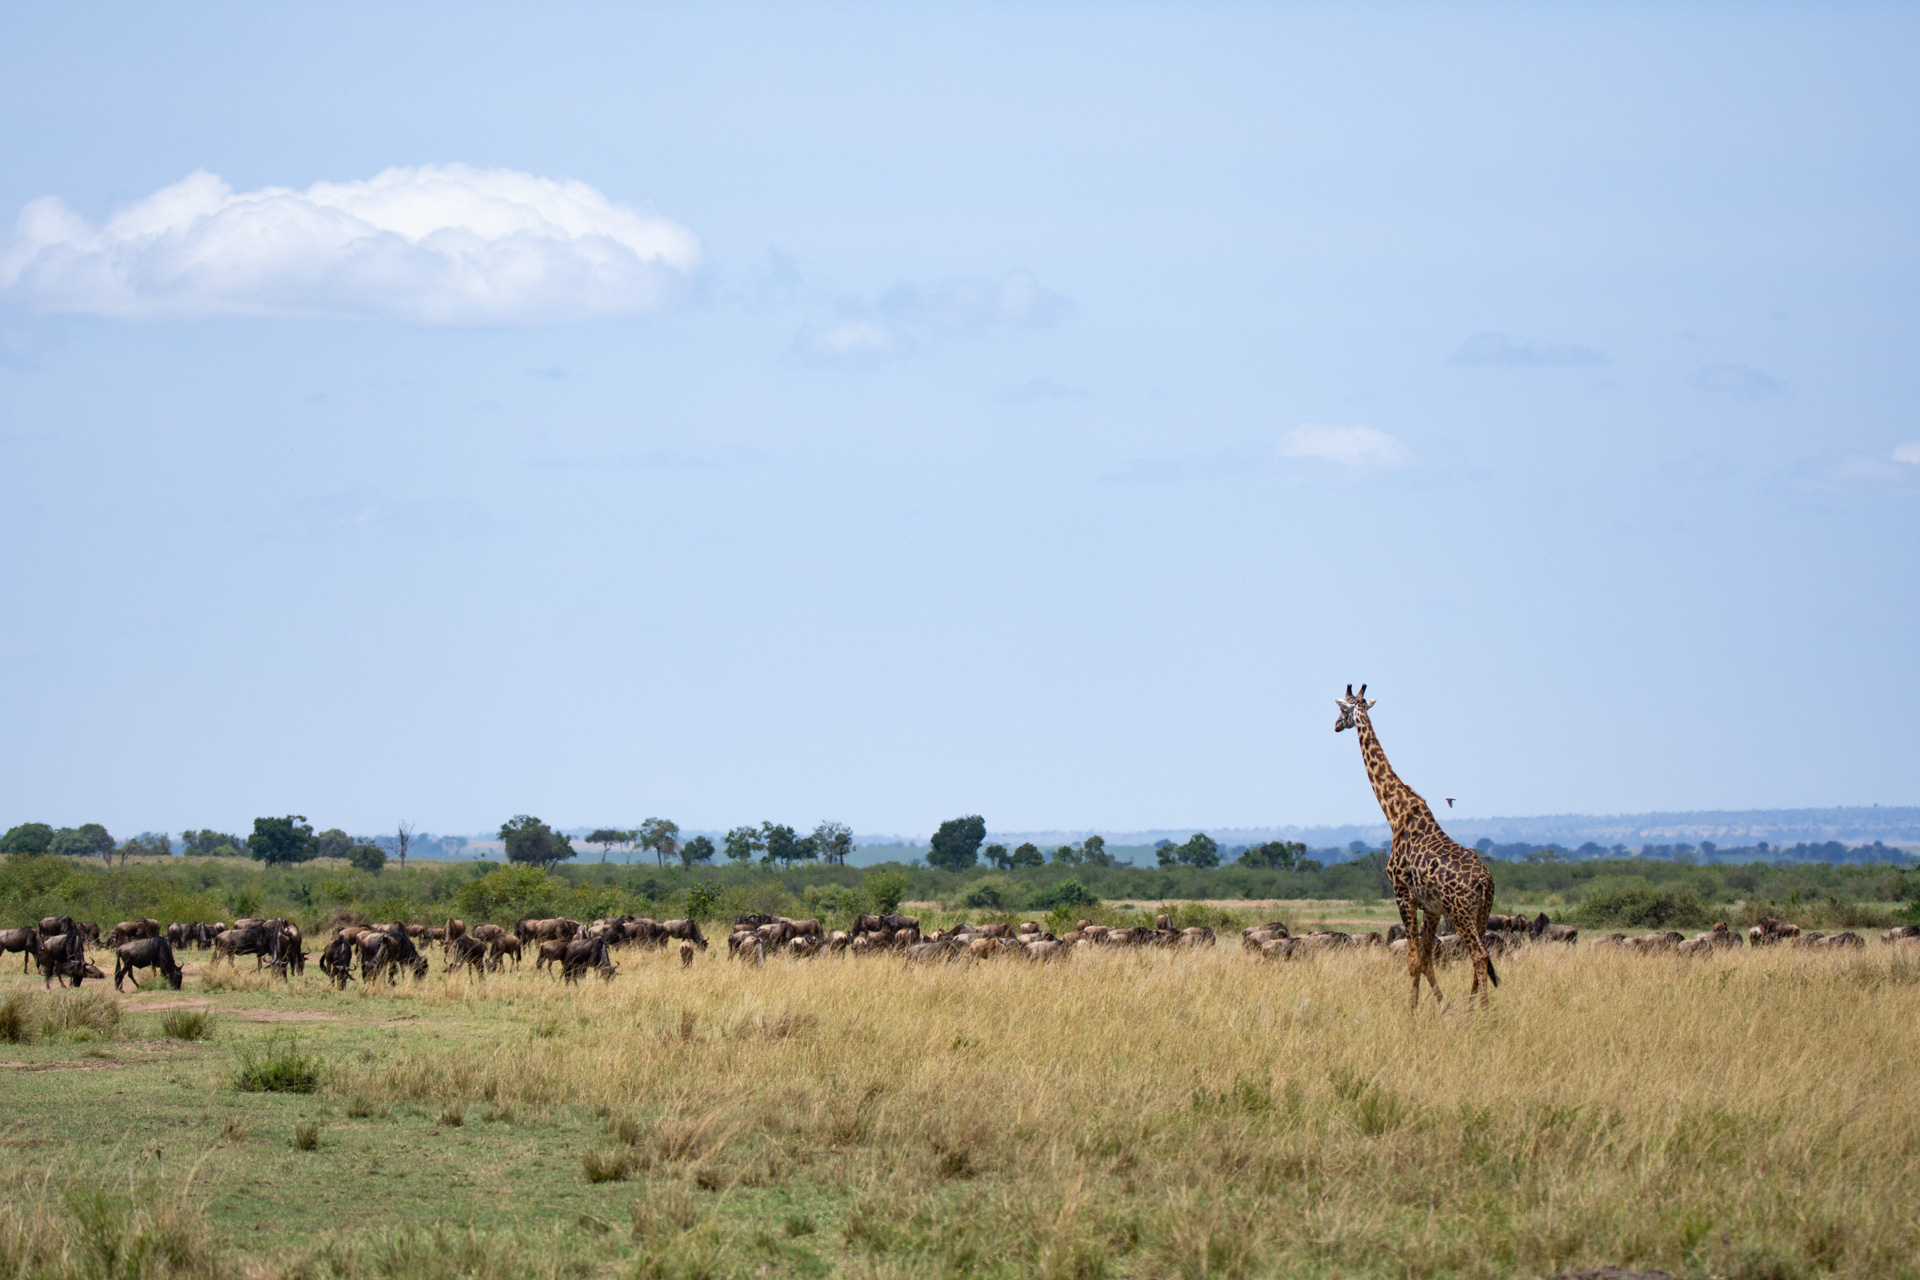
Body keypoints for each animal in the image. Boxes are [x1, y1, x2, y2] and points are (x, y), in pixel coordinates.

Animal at [1336, 687, 1497, 1005]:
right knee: (1482, 956)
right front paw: (1442, 1005)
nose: (1335, 725)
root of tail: (1484, 879)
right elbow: (1426, 958)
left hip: (1460, 912)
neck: (1396, 813)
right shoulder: (1432, 907)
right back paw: (1472, 1005)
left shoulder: (1403, 894)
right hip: (1482, 911)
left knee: (1479, 954)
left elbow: (1412, 960)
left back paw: (1483, 1009)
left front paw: (1411, 1010)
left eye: (1342, 709)